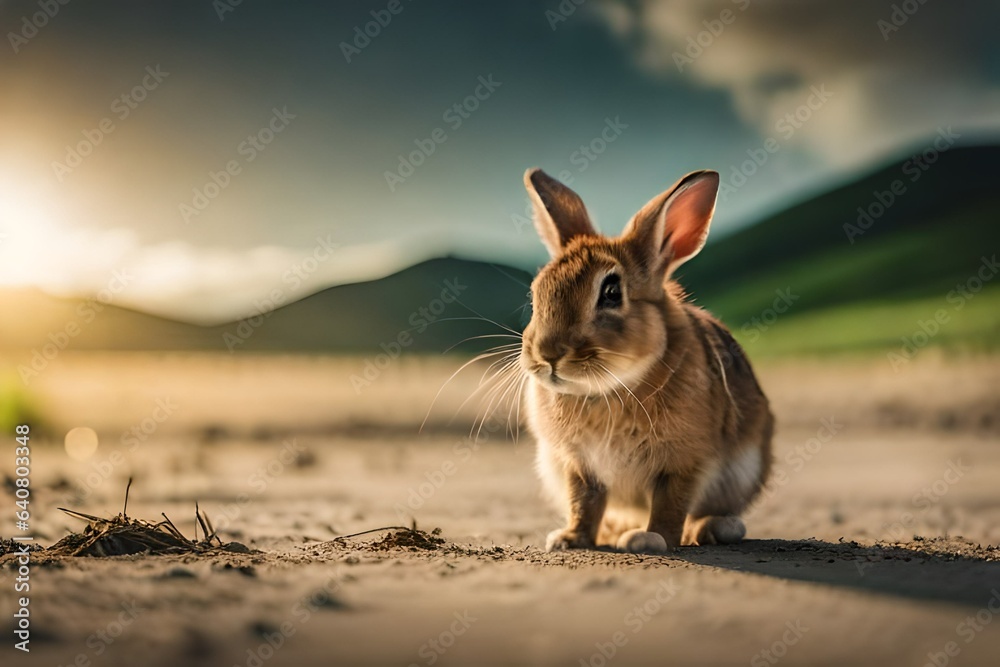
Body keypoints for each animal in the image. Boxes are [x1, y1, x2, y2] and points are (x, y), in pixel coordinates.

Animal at [520, 170, 776, 556]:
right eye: (537, 293)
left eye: (612, 292)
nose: (548, 354)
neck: (609, 387)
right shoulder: (577, 465)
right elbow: (583, 502)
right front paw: (569, 539)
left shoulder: (685, 462)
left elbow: (671, 504)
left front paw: (651, 539)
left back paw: (708, 529)